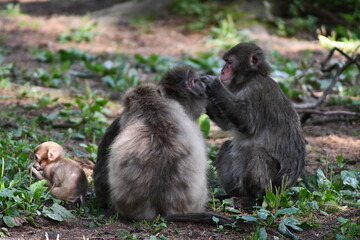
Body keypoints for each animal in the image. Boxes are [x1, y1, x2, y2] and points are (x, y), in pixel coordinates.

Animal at [201, 43, 306, 208]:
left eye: (229, 62)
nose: (222, 71)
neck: (250, 79)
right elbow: (226, 124)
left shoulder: (257, 92)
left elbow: (247, 123)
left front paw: (214, 85)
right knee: (227, 146)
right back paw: (232, 194)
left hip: (273, 190)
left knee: (256, 153)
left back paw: (254, 198)